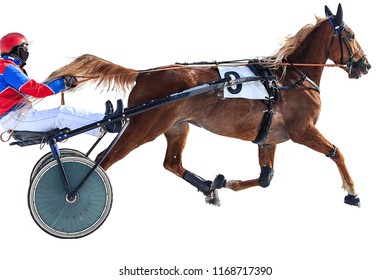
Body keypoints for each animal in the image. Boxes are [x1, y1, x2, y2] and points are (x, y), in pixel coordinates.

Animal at [47, 3, 370, 207]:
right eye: (352, 35)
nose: (365, 65)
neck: (289, 78)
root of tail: (144, 73)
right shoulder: (302, 130)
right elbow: (337, 152)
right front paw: (352, 192)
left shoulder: (269, 139)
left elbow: (265, 178)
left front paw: (225, 182)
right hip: (144, 126)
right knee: (104, 159)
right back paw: (75, 195)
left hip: (177, 127)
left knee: (172, 163)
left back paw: (207, 187)